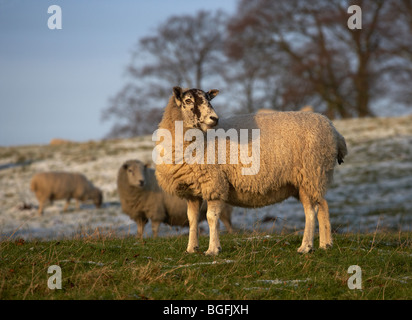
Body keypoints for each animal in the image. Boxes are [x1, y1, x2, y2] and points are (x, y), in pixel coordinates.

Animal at [153, 85, 346, 255]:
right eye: (188, 100)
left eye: (209, 99)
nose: (214, 119)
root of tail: (335, 132)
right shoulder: (192, 190)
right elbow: (192, 219)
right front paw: (191, 248)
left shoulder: (215, 184)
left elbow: (211, 217)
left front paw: (213, 250)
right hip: (312, 179)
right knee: (323, 205)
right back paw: (325, 244)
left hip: (311, 172)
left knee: (311, 211)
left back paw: (306, 247)